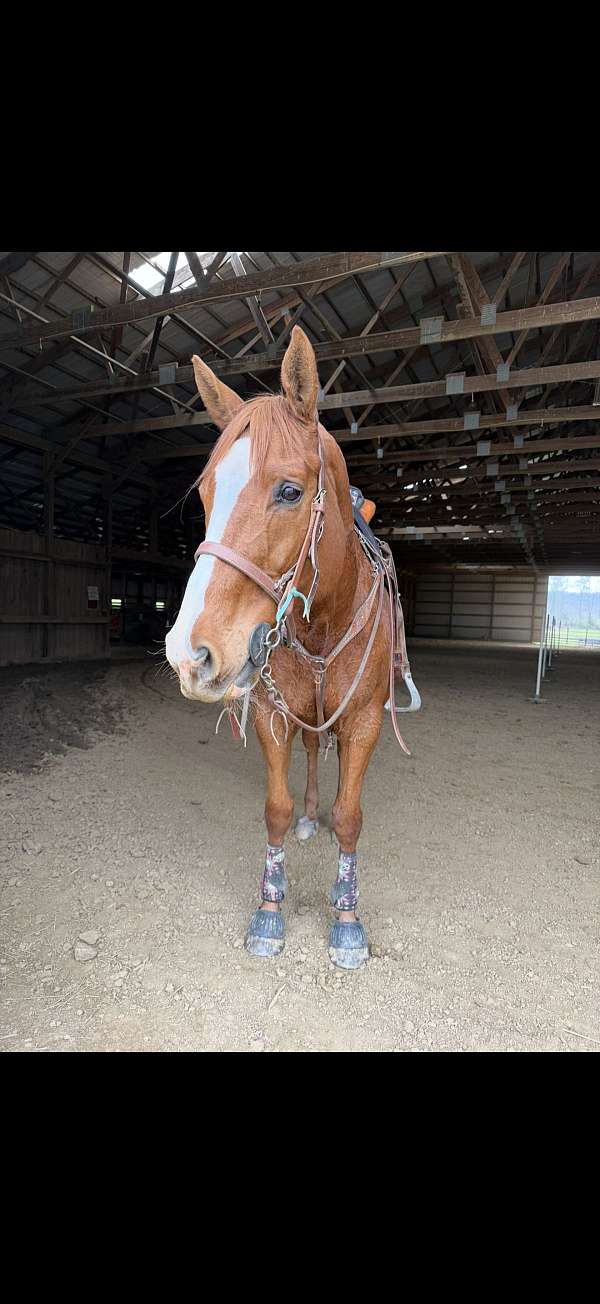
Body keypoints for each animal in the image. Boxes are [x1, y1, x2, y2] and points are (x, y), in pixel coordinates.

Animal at [165, 326, 420, 969]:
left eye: (288, 490)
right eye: (206, 495)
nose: (189, 653)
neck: (324, 618)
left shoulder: (364, 720)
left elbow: (351, 816)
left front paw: (347, 919)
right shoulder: (273, 715)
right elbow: (275, 809)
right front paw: (270, 908)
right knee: (310, 752)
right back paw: (310, 817)